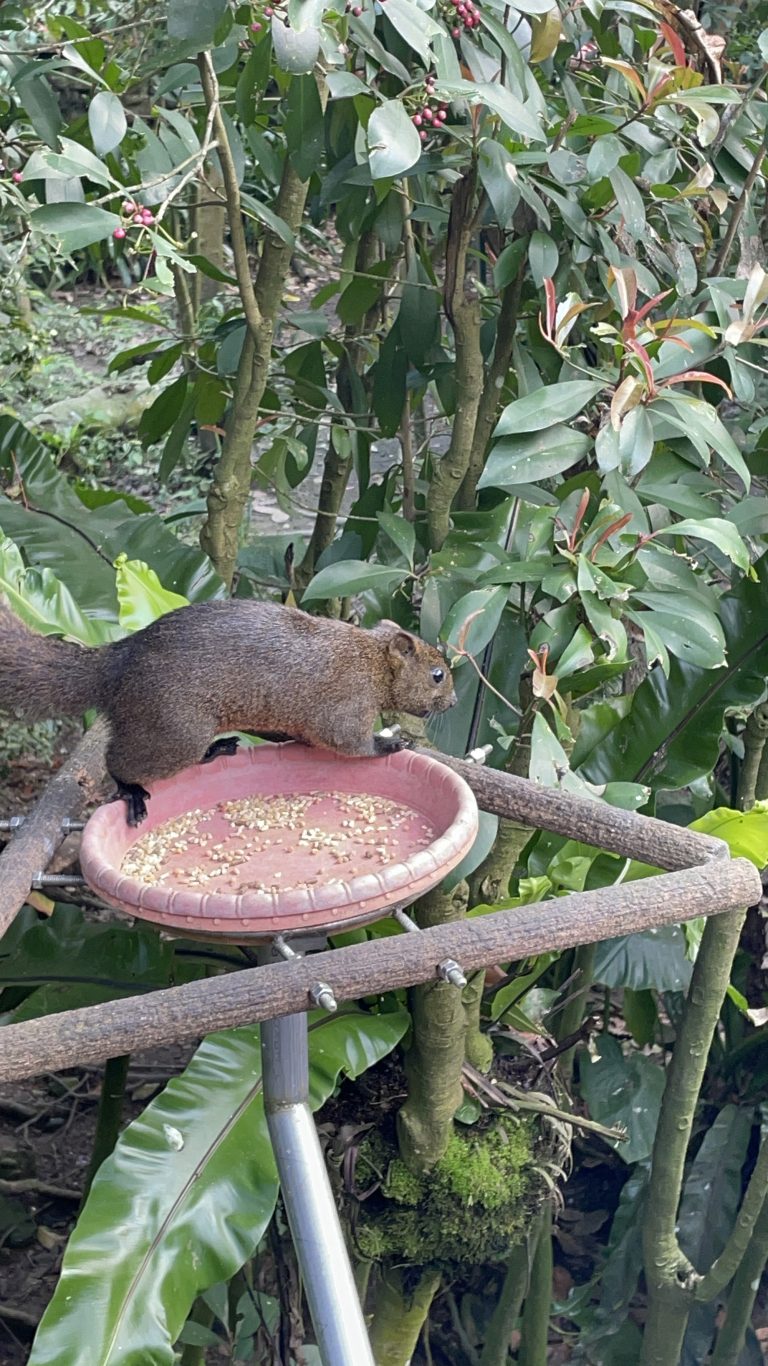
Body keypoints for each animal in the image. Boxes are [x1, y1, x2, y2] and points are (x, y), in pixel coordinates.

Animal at [0, 598, 453, 819]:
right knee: (120, 760)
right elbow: (349, 743)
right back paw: (131, 790)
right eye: (437, 675)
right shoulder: (346, 704)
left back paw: (217, 750)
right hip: (174, 730)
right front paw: (389, 743)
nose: (453, 702)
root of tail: (116, 664)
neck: (372, 662)